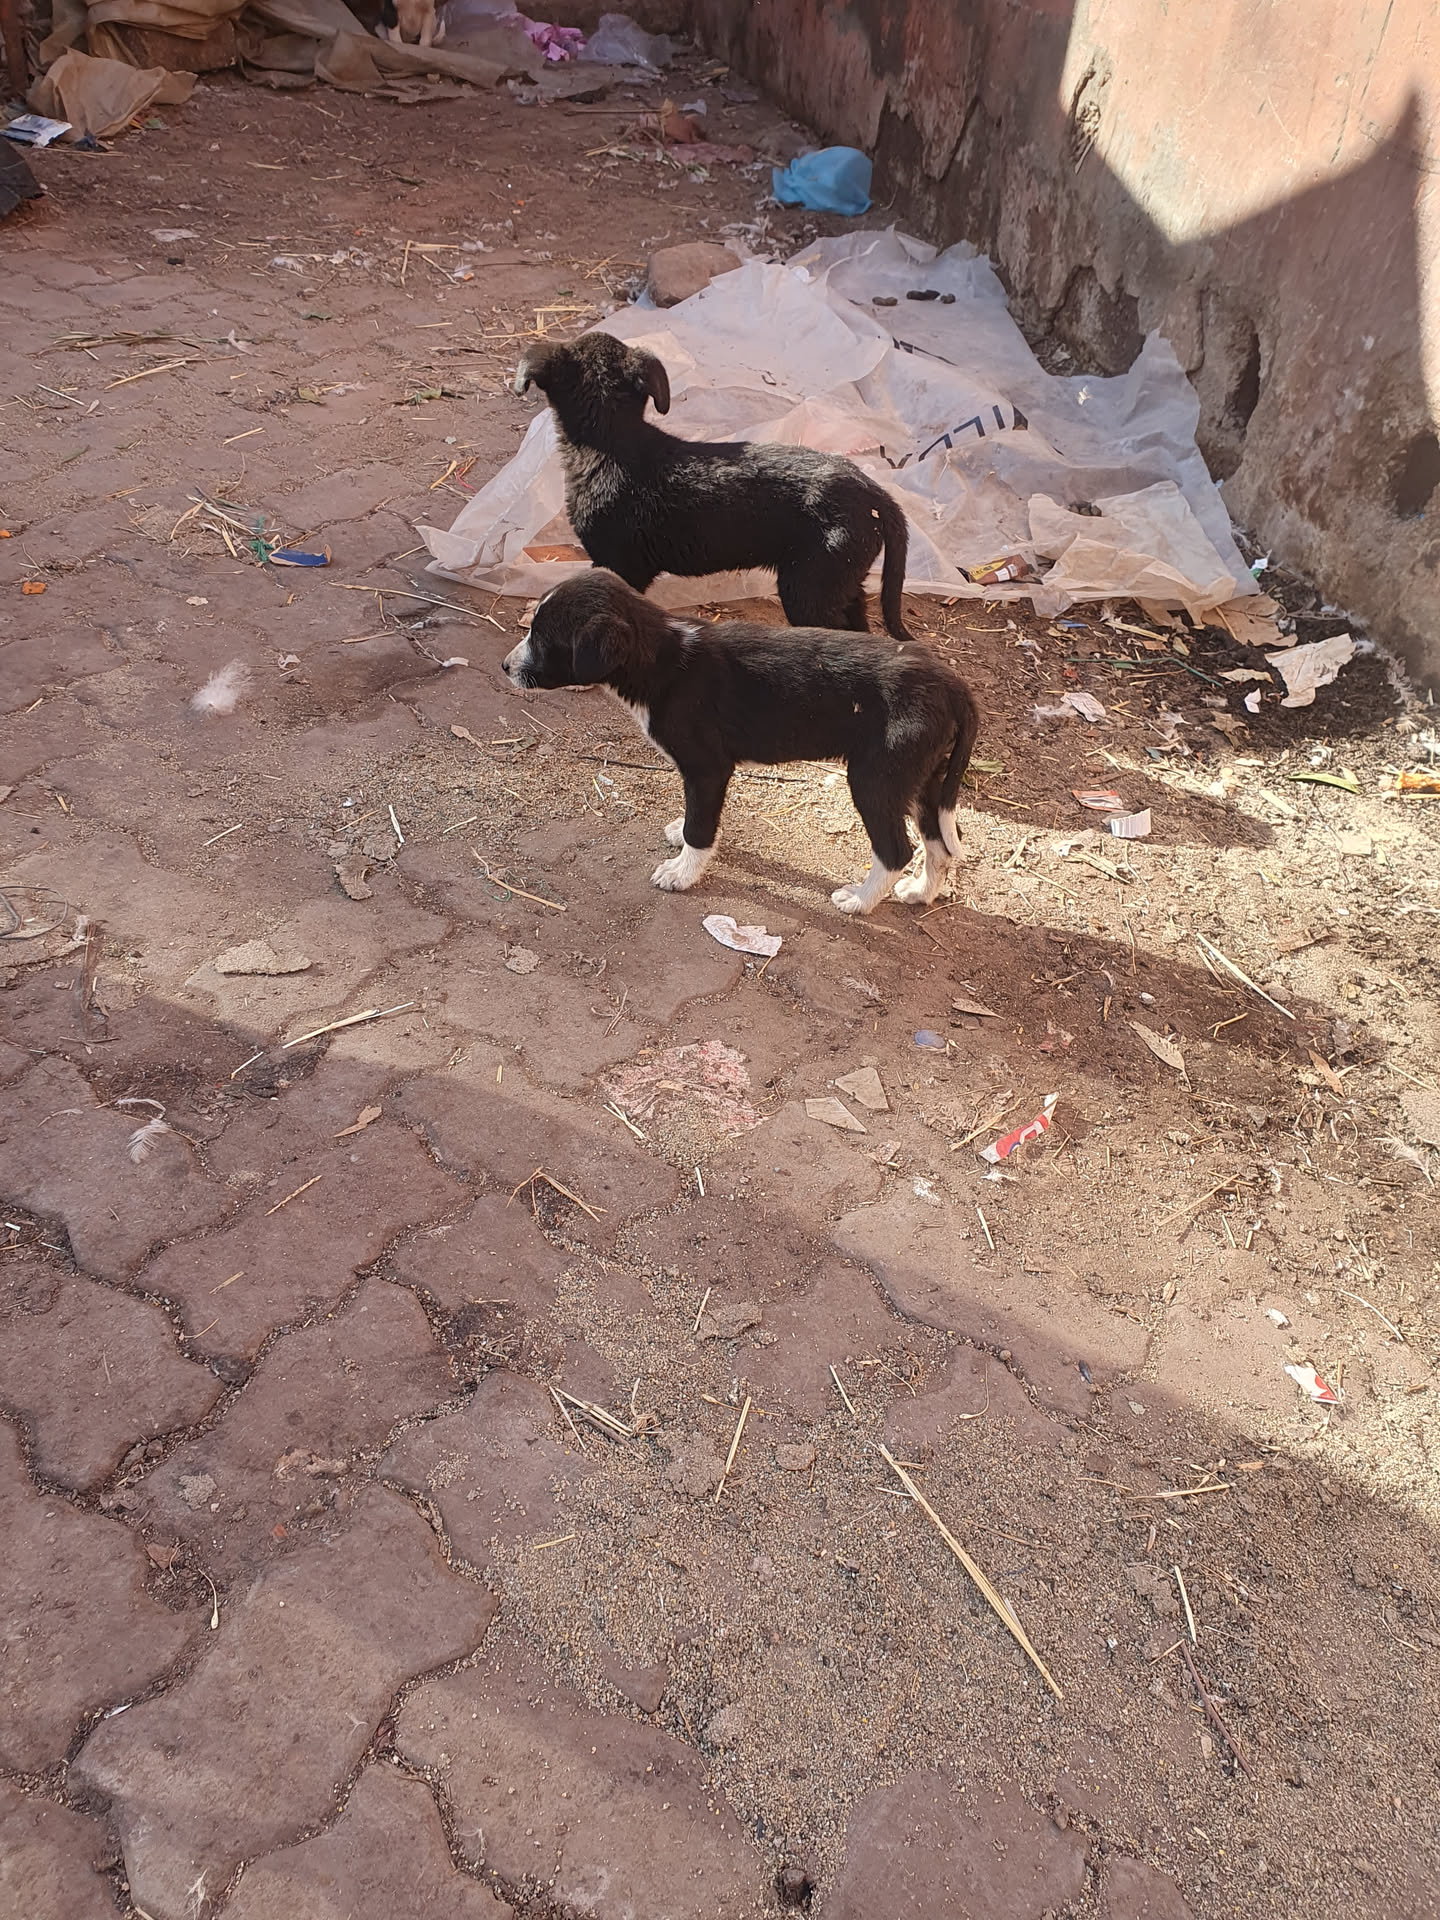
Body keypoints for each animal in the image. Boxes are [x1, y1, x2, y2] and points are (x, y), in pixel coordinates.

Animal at [502, 571, 979, 915]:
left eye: (543, 639)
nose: (505, 666)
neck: (662, 659)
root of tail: (954, 684)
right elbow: (695, 816)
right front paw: (679, 834)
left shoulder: (707, 767)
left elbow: (700, 827)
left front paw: (681, 874)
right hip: (923, 780)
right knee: (940, 844)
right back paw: (920, 893)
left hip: (876, 778)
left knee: (897, 848)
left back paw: (860, 901)